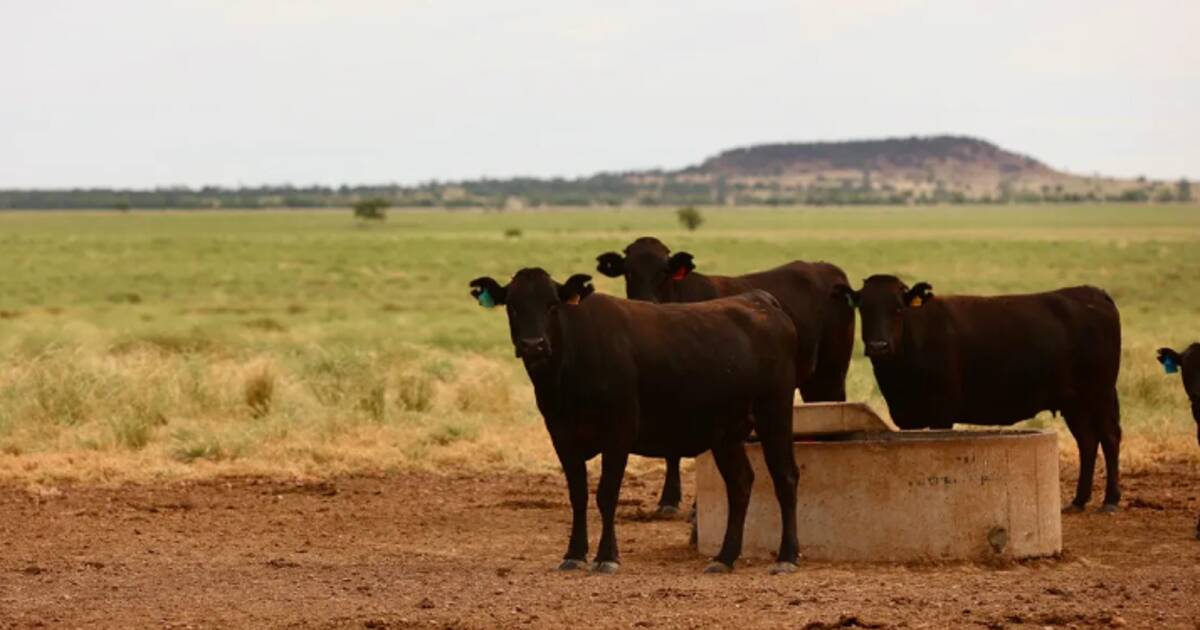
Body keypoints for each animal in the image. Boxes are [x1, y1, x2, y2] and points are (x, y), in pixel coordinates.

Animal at [472, 267, 801, 571]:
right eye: (512, 305)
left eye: (552, 305)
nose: (533, 344)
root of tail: (760, 300)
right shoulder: (561, 435)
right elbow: (578, 495)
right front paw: (574, 554)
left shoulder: (619, 431)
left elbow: (607, 494)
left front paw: (607, 557)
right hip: (726, 432)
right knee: (740, 483)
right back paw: (725, 557)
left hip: (774, 412)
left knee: (785, 476)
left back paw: (787, 556)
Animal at [592, 232, 854, 513]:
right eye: (628, 272)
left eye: (663, 272)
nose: (644, 301)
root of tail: (827, 268)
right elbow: (672, 451)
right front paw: (669, 499)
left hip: (831, 374)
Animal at [835, 277, 1123, 513]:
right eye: (864, 308)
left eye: (898, 308)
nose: (879, 346)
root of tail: (1092, 293)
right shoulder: (908, 417)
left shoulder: (942, 413)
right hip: (1075, 402)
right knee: (1087, 440)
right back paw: (1079, 501)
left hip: (1099, 393)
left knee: (1109, 437)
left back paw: (1110, 500)